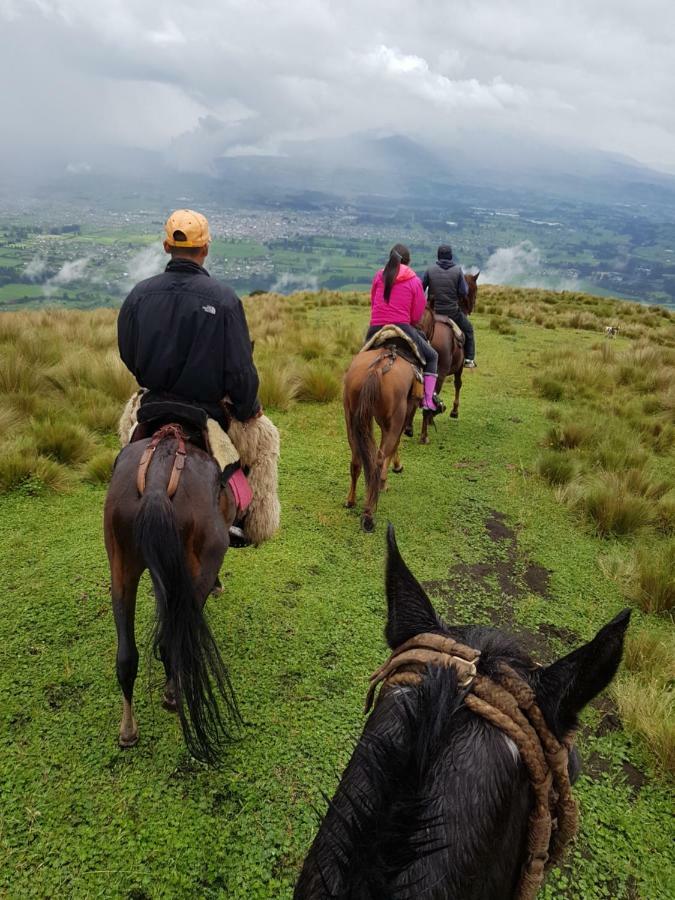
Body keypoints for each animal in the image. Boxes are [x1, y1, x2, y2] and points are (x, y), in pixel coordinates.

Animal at [104, 426, 242, 764]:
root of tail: (156, 481)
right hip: (197, 569)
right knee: (173, 641)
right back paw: (171, 694)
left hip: (121, 566)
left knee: (126, 657)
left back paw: (128, 730)